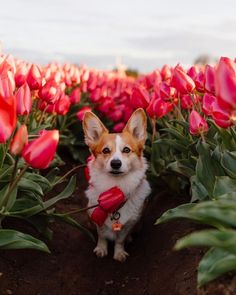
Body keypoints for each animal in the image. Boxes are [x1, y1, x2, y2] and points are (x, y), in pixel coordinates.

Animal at [82, 109, 150, 264]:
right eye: (106, 150)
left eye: (126, 150)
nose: (116, 163)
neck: (116, 186)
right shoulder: (97, 219)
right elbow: (102, 236)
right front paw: (101, 249)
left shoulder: (130, 223)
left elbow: (120, 240)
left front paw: (119, 253)